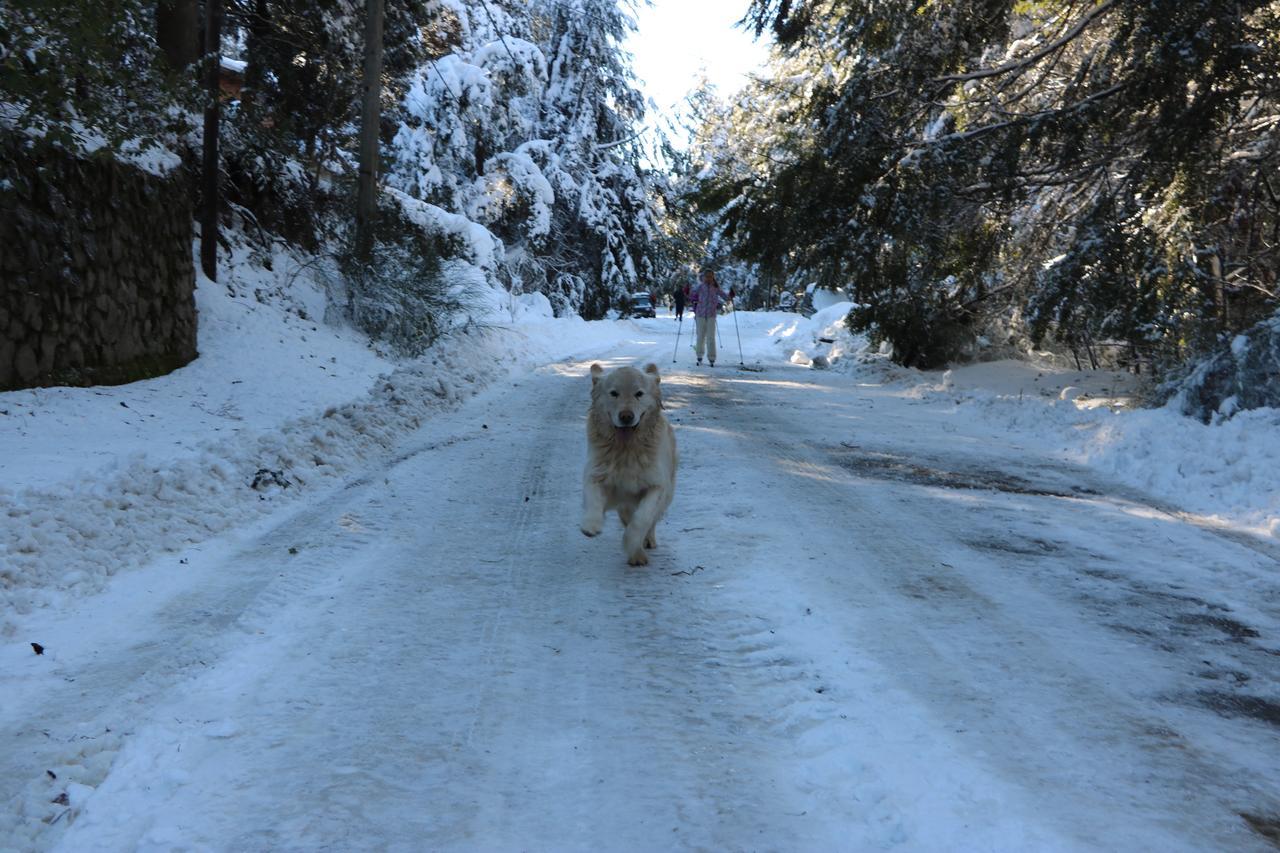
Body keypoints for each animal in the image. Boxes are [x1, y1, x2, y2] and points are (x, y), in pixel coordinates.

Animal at [583, 361, 680, 563]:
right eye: (614, 393)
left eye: (639, 393)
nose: (626, 416)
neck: (626, 448)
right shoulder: (597, 473)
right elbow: (592, 498)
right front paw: (590, 525)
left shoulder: (657, 485)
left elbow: (642, 518)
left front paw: (631, 544)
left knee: (650, 521)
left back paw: (645, 544)